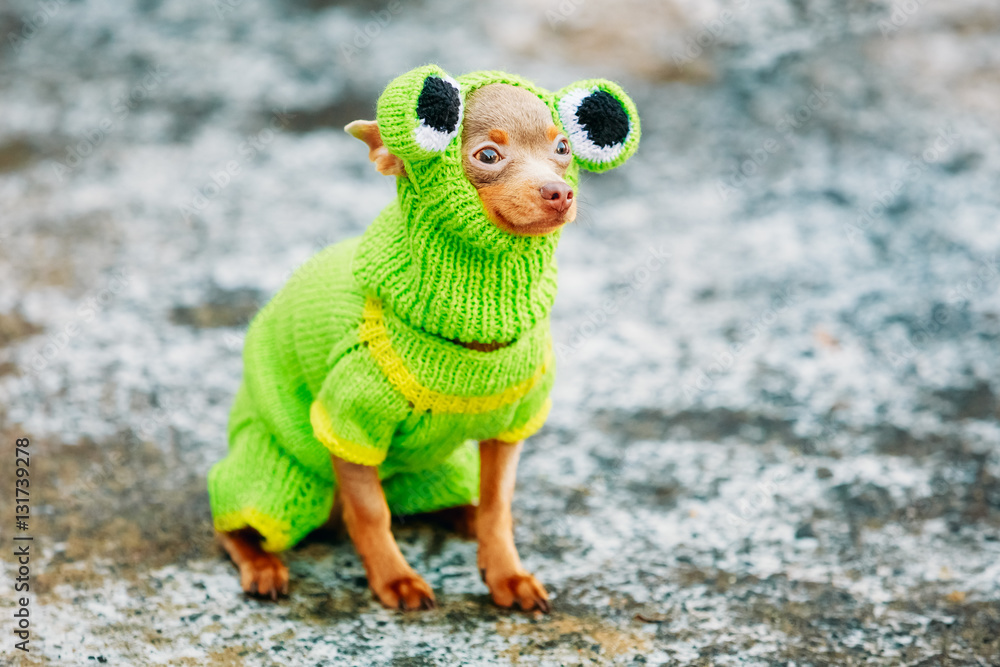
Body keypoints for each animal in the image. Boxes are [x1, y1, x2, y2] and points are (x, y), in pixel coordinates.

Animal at [209, 65, 640, 612]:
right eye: (487, 156)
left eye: (563, 147)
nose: (559, 192)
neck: (473, 331)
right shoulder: (349, 425)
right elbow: (371, 513)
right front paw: (395, 579)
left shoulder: (511, 427)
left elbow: (499, 504)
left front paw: (507, 572)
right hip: (276, 480)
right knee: (234, 524)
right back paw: (263, 564)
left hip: (442, 468)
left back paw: (465, 515)